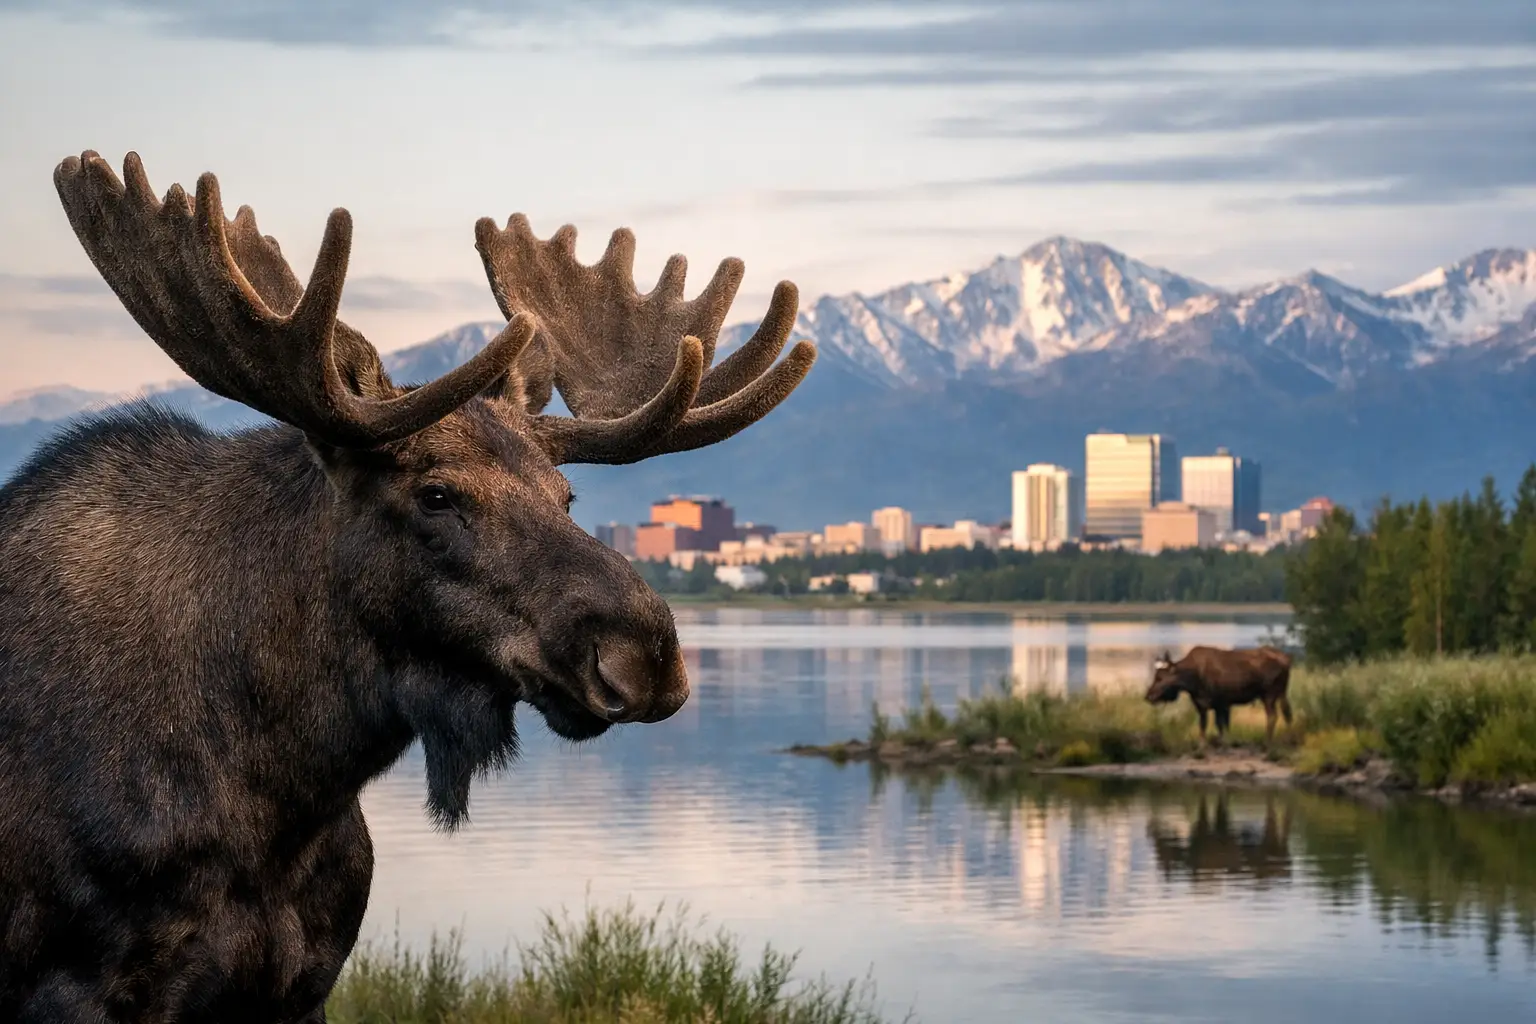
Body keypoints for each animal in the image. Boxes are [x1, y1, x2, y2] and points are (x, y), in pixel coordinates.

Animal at [0, 150, 815, 1023]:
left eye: (566, 496)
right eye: (435, 495)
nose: (649, 654)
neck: (283, 795)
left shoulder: (304, 986)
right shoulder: (80, 991)